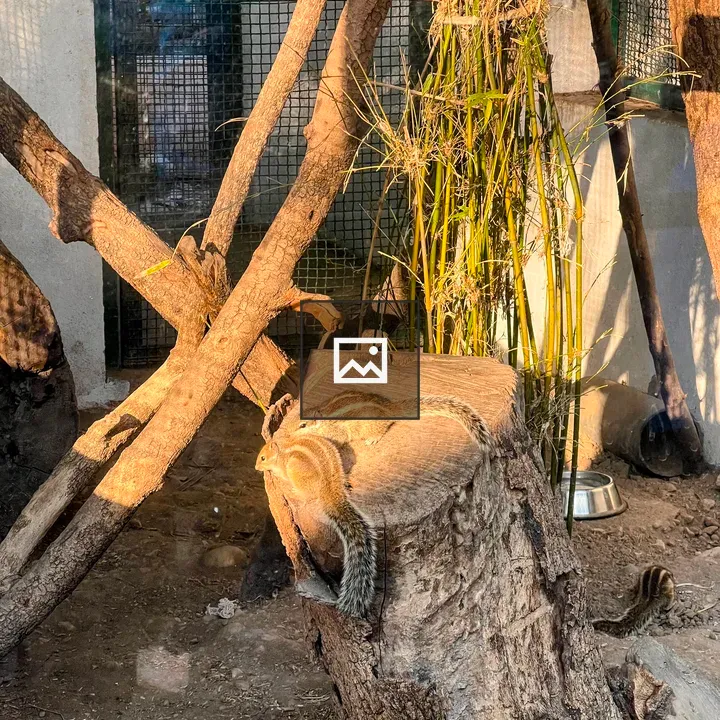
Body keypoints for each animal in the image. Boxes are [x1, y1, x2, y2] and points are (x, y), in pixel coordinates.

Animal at [255, 434, 376, 618]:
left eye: (263, 457)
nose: (256, 467)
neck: (283, 450)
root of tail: (329, 486)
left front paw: (273, 474)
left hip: (295, 471)